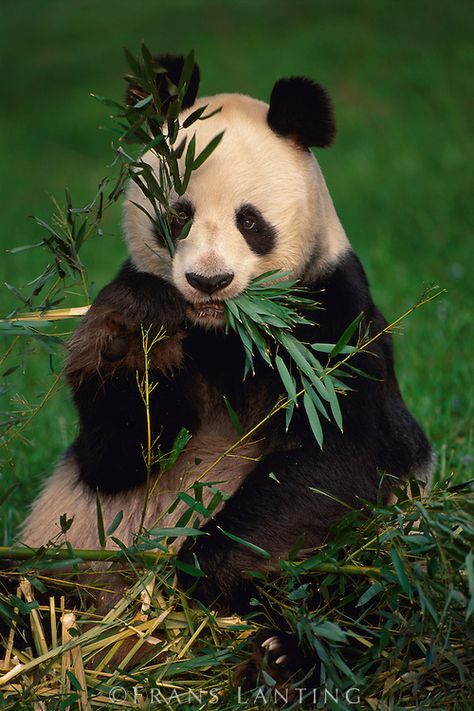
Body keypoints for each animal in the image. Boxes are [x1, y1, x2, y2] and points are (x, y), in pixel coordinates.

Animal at [21, 54, 434, 680]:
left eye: (250, 221)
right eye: (178, 216)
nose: (208, 280)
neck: (227, 332)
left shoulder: (330, 319)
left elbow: (334, 454)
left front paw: (195, 575)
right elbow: (117, 455)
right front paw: (126, 339)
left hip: (398, 552)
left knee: (371, 594)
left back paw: (284, 651)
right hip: (65, 554)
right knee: (31, 593)